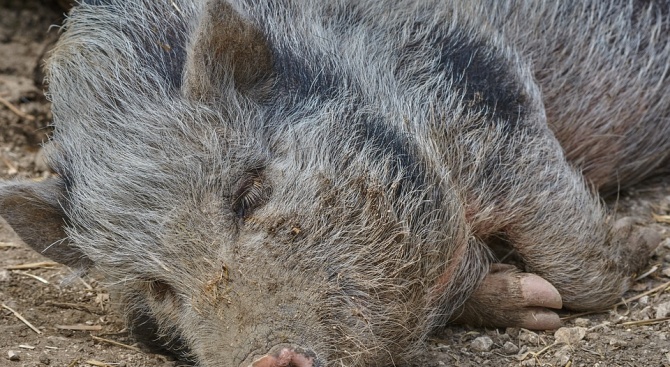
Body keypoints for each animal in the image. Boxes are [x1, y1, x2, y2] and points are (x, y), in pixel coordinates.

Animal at [0, 0, 668, 366]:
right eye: (158, 288)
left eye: (249, 194)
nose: (268, 358)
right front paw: (529, 300)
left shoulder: (485, 92)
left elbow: (569, 248)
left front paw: (639, 246)